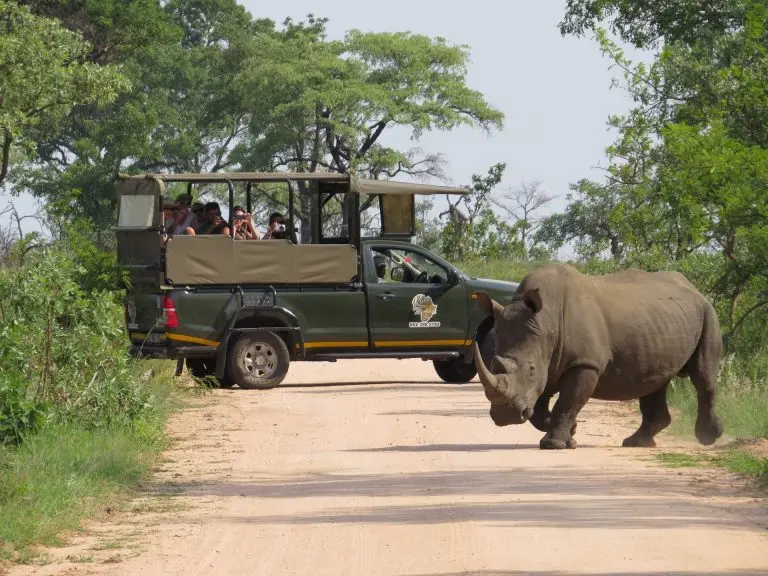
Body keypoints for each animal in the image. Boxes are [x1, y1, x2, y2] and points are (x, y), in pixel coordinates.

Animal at [473, 263, 724, 450]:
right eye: (493, 364)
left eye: (531, 369)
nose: (505, 416)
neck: (546, 324)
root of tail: (694, 289)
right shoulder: (549, 361)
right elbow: (540, 408)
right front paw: (571, 432)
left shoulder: (584, 363)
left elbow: (568, 401)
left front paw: (555, 444)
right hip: (661, 323)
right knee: (656, 379)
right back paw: (636, 442)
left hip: (708, 313)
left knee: (703, 374)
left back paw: (708, 437)